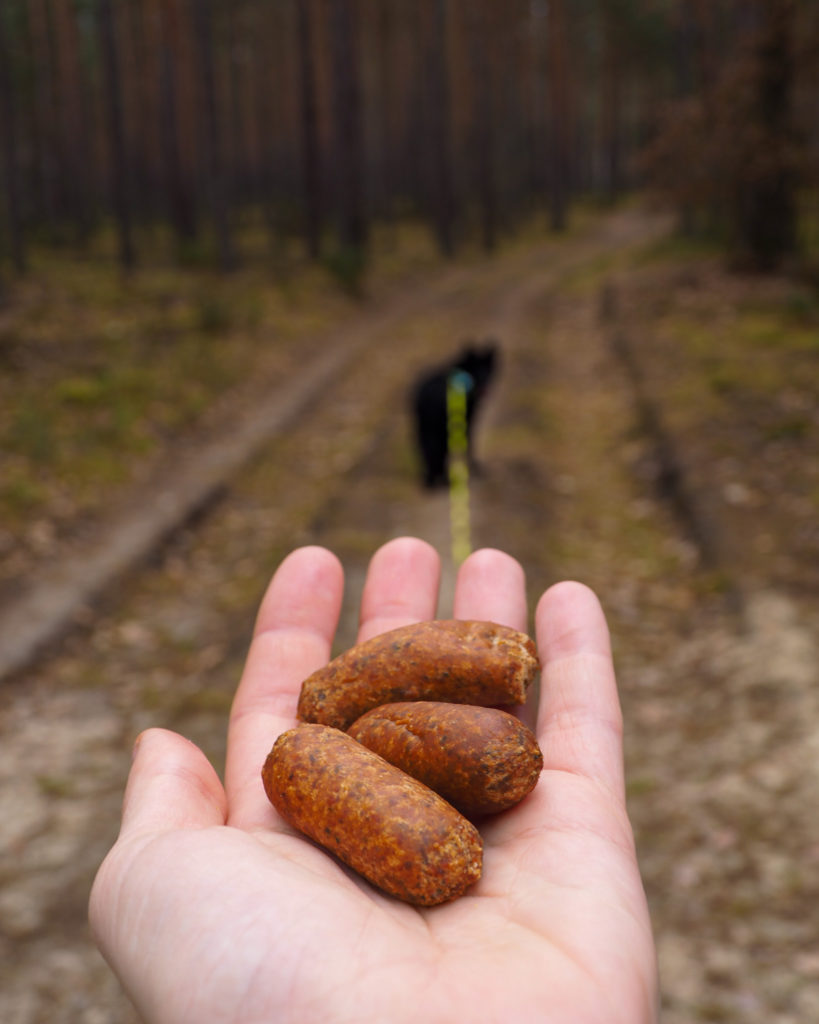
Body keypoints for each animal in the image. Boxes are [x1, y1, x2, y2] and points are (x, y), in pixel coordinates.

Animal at [409, 339, 499, 487]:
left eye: (488, 368)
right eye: (478, 368)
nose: (486, 383)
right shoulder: (466, 422)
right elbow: (469, 446)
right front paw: (474, 468)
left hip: (423, 428)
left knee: (428, 453)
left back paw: (432, 480)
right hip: (439, 429)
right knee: (436, 453)